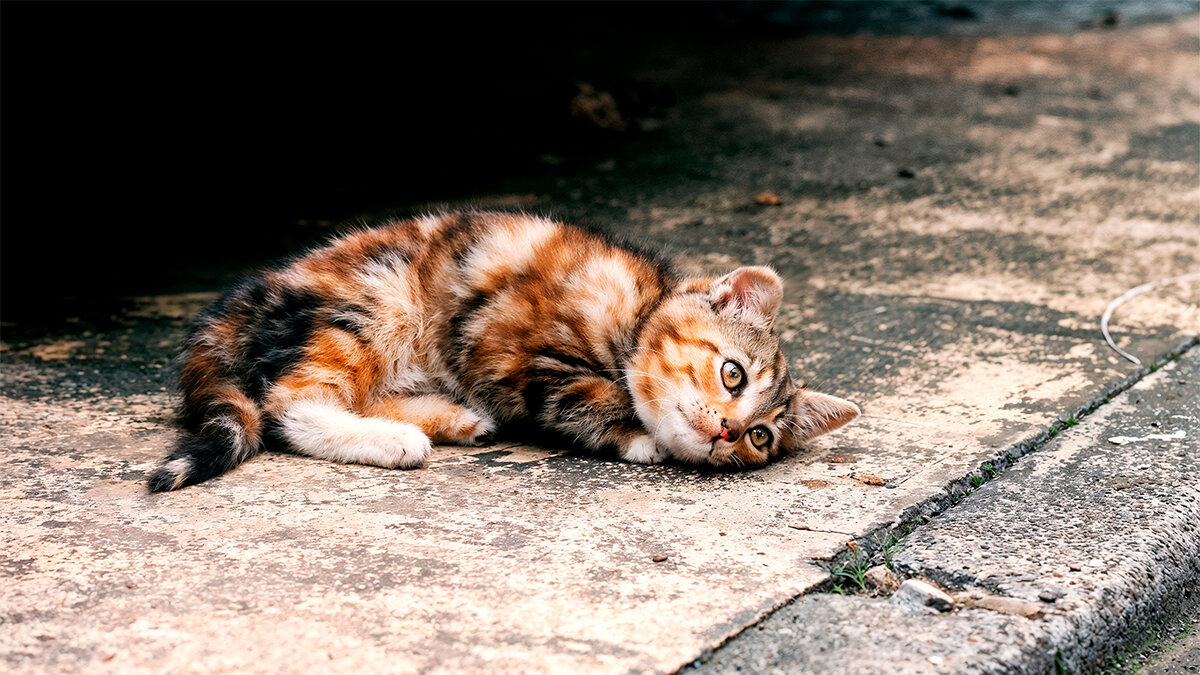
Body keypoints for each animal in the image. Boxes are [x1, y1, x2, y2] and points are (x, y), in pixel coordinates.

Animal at [147, 210, 864, 487]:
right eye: (733, 374)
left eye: (761, 438)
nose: (726, 432)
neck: (637, 309)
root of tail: (230, 311)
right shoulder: (509, 344)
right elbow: (581, 391)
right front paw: (641, 435)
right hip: (375, 300)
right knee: (288, 402)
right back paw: (394, 439)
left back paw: (450, 417)